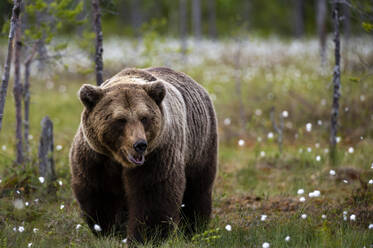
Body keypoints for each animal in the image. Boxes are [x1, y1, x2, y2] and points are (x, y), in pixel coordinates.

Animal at [69, 67, 218, 245]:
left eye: (144, 117)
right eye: (120, 119)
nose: (140, 144)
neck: (119, 160)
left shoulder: (158, 154)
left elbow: (152, 194)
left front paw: (145, 237)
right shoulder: (96, 157)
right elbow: (100, 192)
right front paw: (109, 231)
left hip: (200, 145)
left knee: (197, 189)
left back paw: (194, 229)